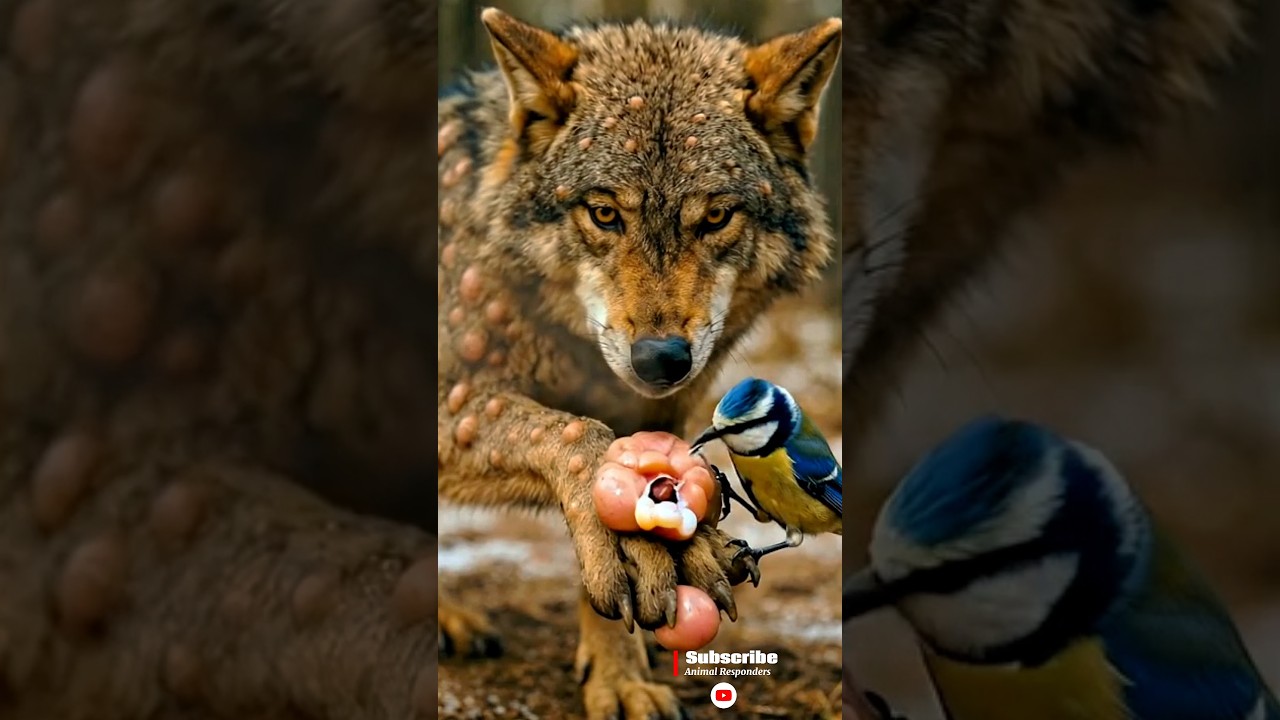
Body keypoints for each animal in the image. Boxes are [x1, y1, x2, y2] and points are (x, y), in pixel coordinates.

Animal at [437, 8, 840, 719]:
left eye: (716, 216)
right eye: (604, 213)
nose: (661, 360)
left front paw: (620, 678)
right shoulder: (451, 398)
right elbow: (575, 435)